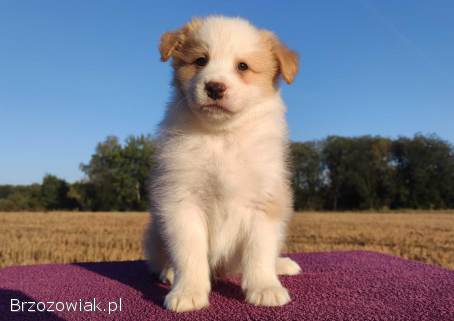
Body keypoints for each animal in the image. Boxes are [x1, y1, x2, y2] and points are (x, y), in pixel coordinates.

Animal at [145, 16, 302, 312]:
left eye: (242, 66)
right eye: (200, 60)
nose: (215, 87)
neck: (223, 136)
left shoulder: (265, 202)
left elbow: (259, 252)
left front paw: (265, 288)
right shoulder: (182, 201)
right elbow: (189, 253)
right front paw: (188, 292)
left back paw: (282, 265)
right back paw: (169, 273)